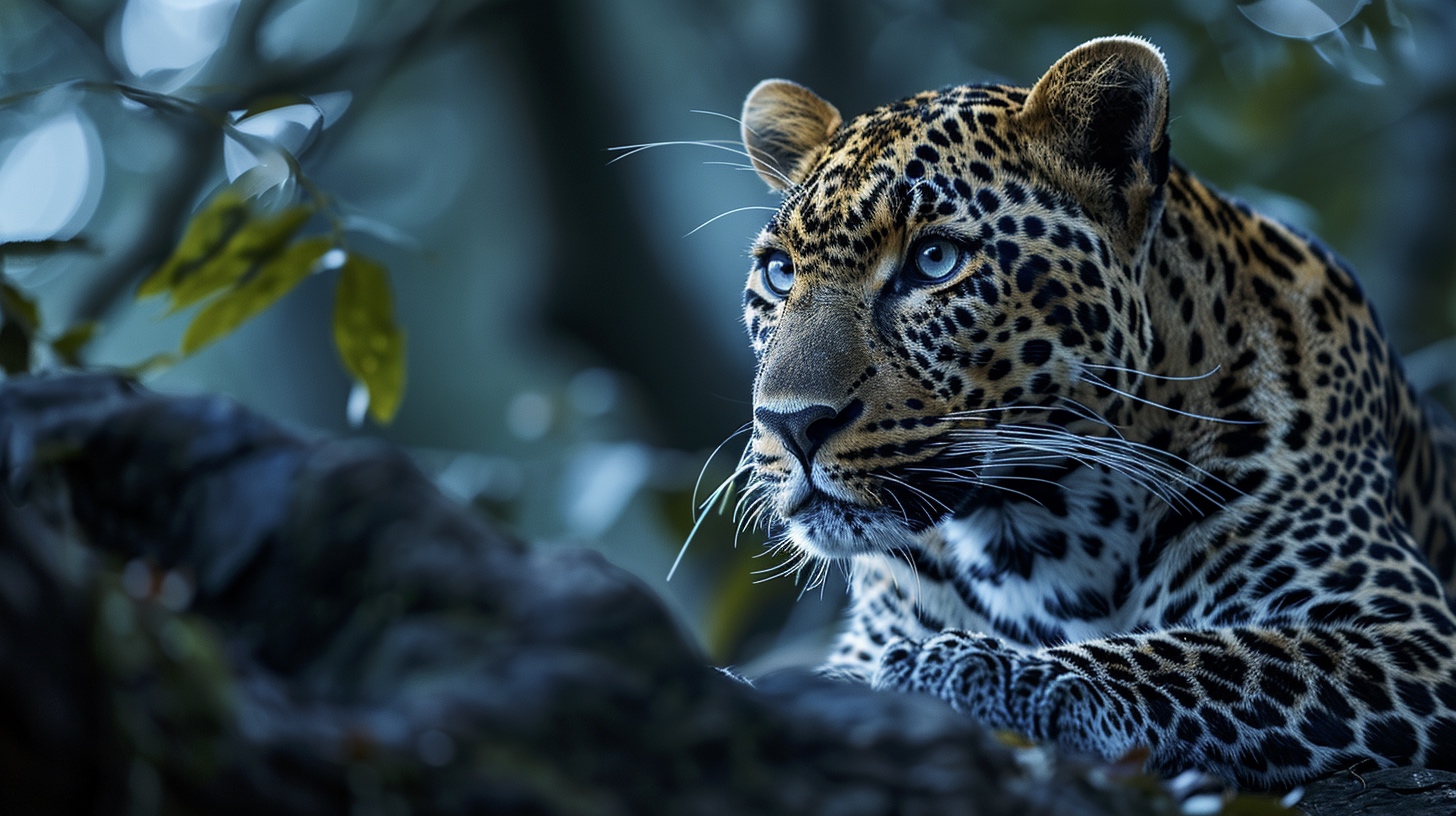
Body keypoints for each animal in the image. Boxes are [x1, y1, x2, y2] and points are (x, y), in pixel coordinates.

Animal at [732, 36, 1456, 791]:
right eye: (779, 273)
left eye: (934, 260)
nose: (790, 424)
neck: (1035, 534)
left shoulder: (1406, 633)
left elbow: (1195, 656)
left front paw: (988, 670)